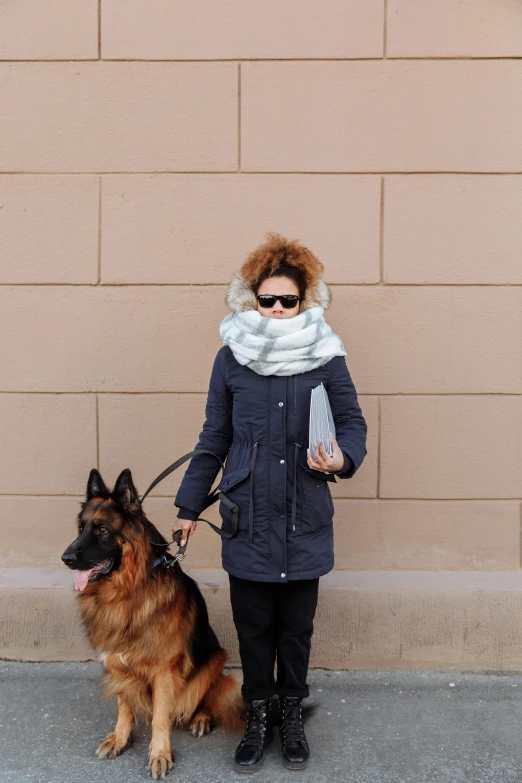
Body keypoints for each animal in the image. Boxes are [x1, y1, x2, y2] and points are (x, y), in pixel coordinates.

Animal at [61, 468, 244, 780]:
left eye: (102, 529)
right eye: (81, 528)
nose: (66, 558)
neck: (127, 590)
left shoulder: (164, 670)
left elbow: (160, 717)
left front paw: (159, 755)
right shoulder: (117, 663)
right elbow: (123, 705)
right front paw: (120, 738)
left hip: (215, 659)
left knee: (209, 695)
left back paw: (202, 718)